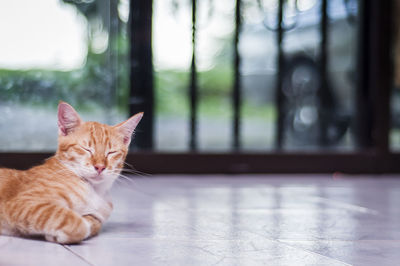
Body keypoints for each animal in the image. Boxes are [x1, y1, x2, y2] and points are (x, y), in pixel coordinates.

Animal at [0, 102, 143, 243]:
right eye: (86, 149)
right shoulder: (23, 203)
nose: (100, 167)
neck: (94, 190)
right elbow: (72, 219)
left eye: (111, 152)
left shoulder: (98, 214)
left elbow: (94, 222)